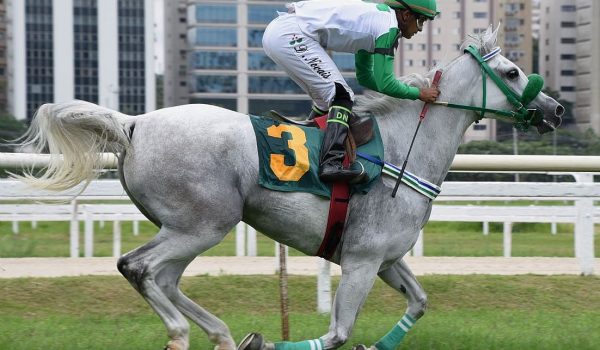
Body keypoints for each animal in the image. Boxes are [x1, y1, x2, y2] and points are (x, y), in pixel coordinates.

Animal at [15, 29, 564, 350]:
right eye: (512, 72)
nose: (556, 110)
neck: (403, 149)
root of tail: (133, 122)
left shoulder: (385, 258)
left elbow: (419, 302)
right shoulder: (363, 260)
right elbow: (338, 334)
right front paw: (269, 341)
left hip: (190, 227)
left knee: (164, 279)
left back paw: (220, 335)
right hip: (203, 223)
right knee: (140, 268)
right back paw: (183, 335)